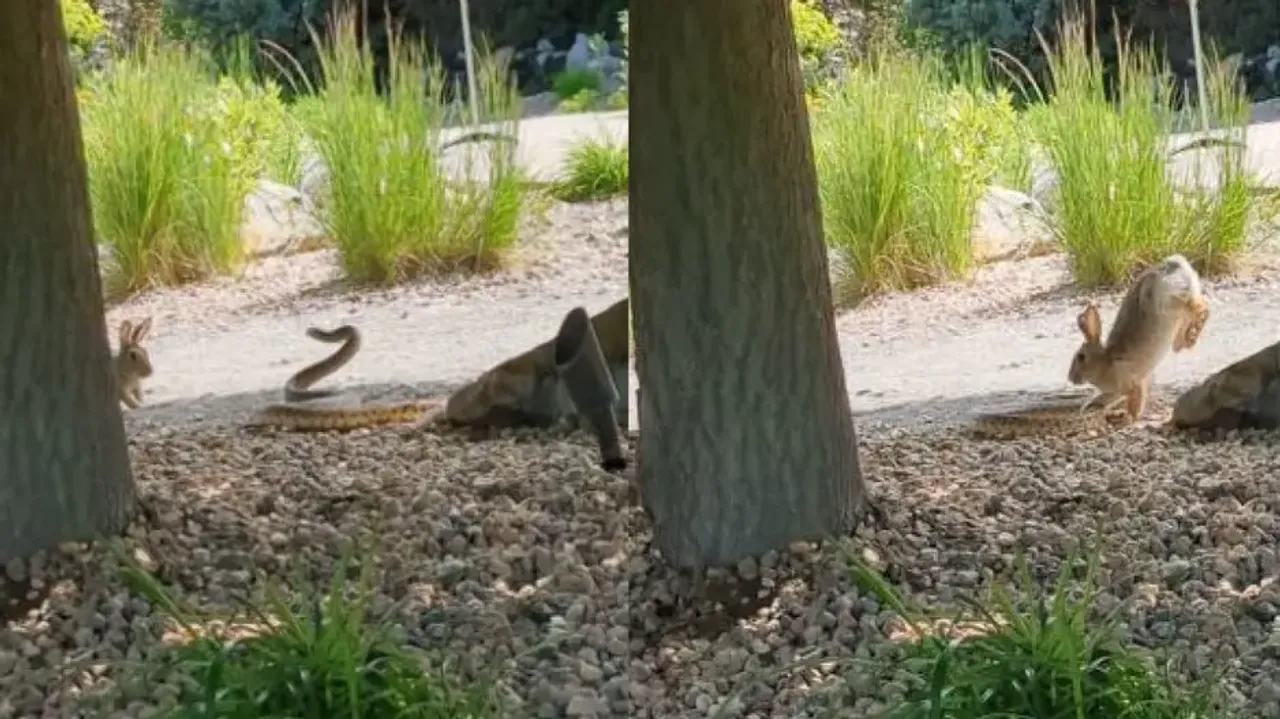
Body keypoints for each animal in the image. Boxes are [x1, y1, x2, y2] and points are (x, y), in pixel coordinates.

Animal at [1067, 254, 1210, 422]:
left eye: (1081, 357)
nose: (1071, 378)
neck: (1106, 362)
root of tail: (1174, 264)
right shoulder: (1116, 391)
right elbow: (1106, 399)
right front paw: (1087, 409)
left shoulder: (1132, 383)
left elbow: (1135, 403)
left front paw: (1128, 418)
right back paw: (1184, 341)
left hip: (1170, 300)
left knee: (1201, 306)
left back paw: (1190, 337)